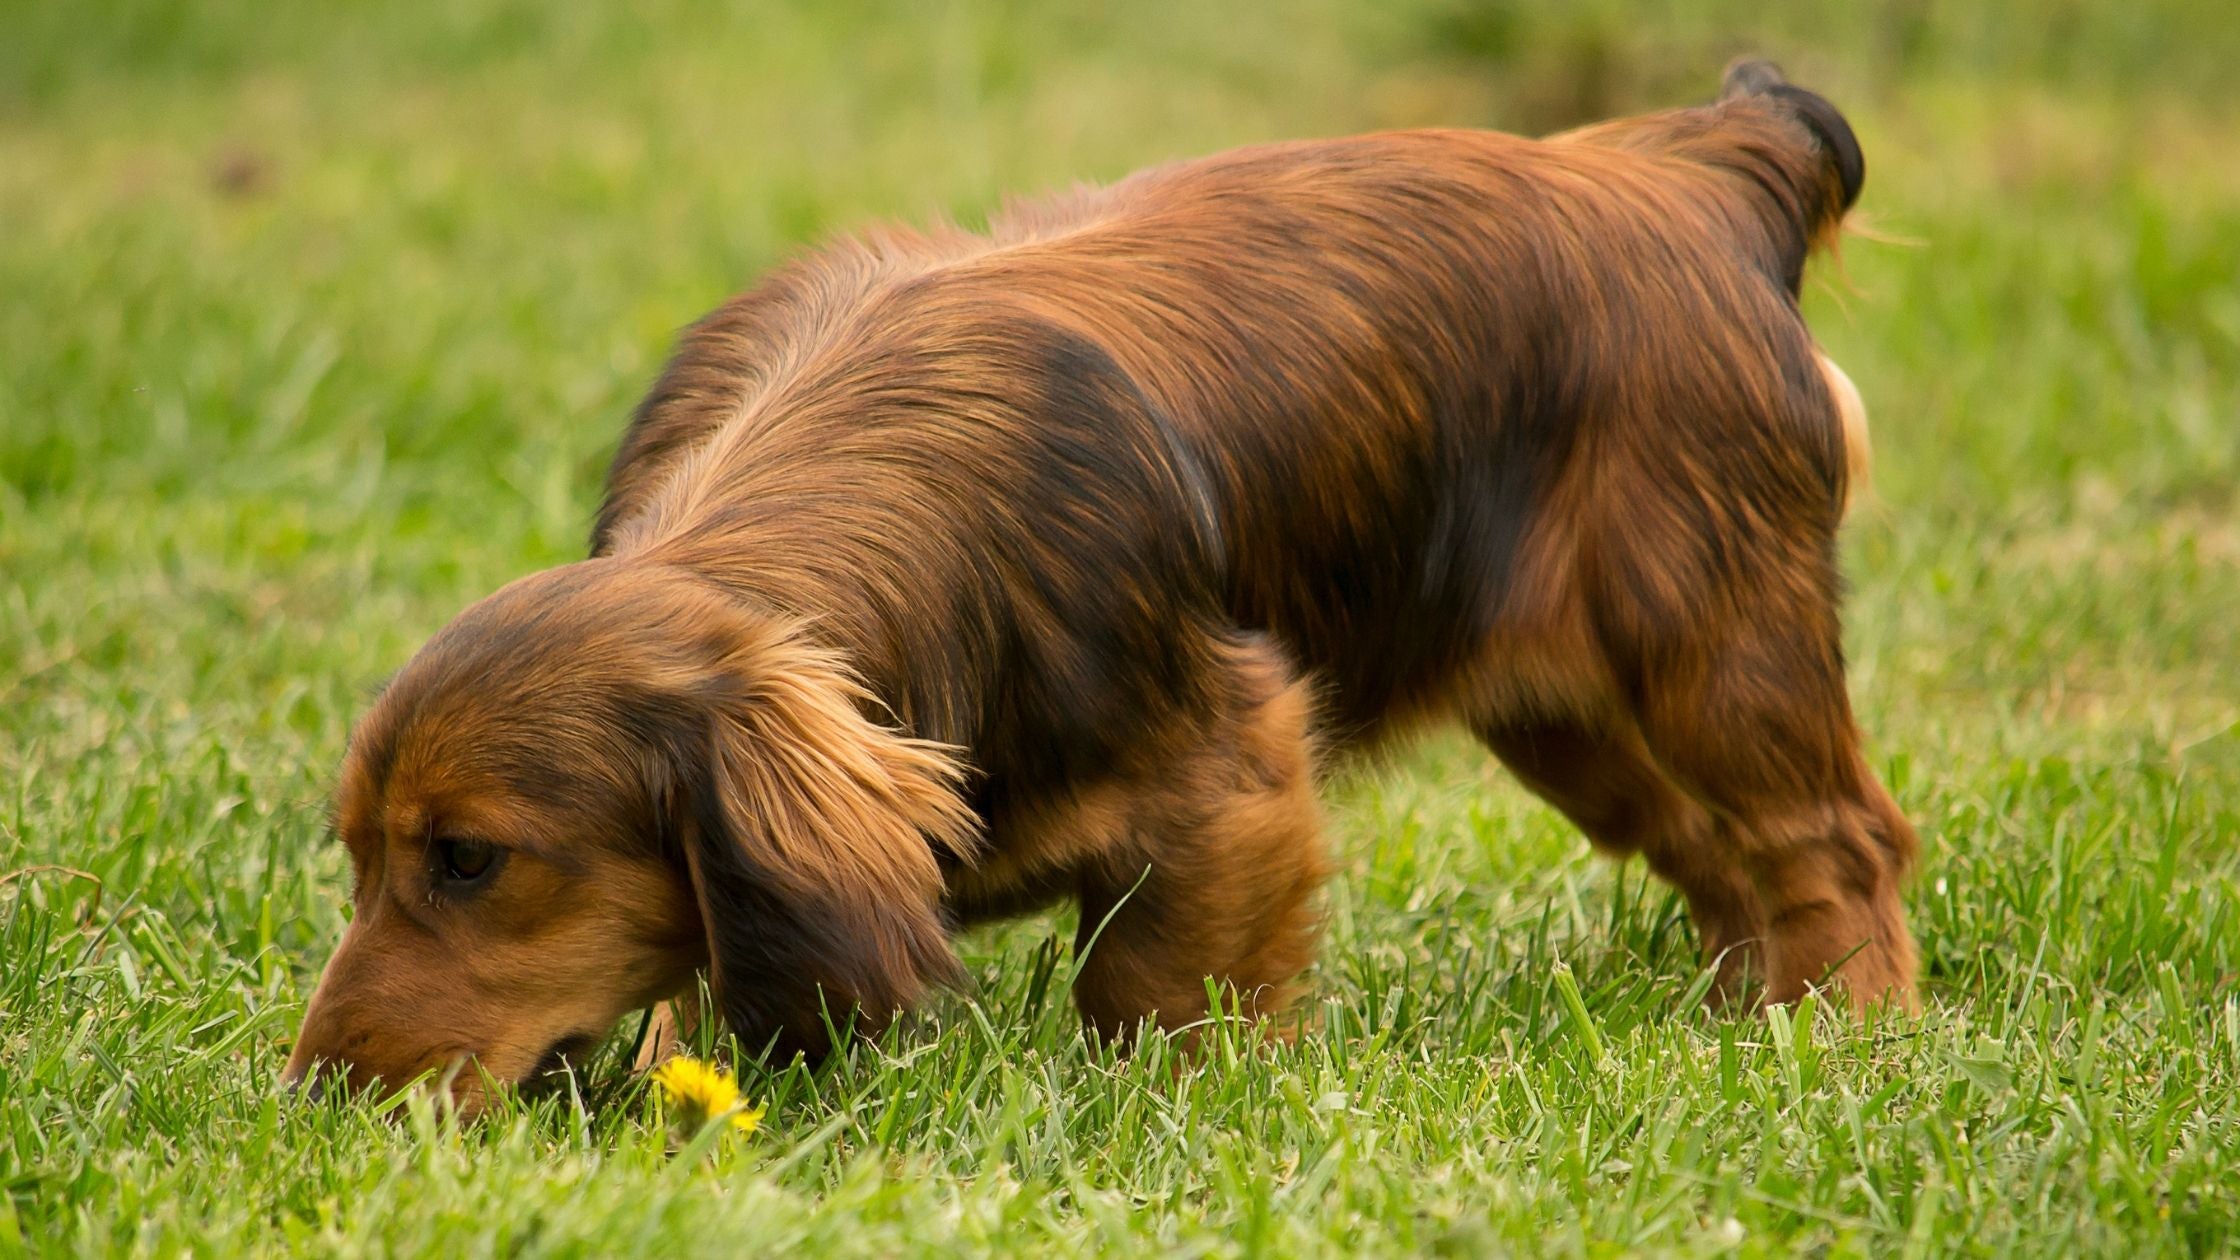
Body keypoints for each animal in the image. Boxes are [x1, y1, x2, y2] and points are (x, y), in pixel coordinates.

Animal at [284, 63, 1926, 1103]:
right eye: (356, 855)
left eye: (471, 859)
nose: (313, 1105)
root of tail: (1697, 167)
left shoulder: (1228, 774)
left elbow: (1147, 994)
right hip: (1571, 719)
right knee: (1719, 858)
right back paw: (1736, 1023)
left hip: (1710, 643)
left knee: (1839, 840)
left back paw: (1845, 1041)